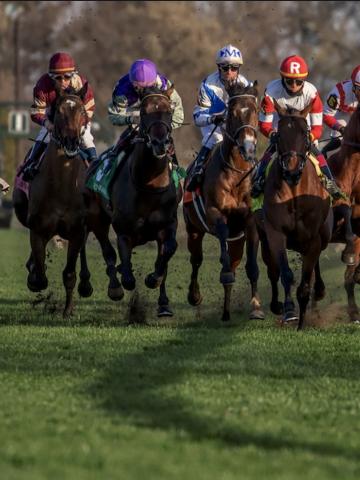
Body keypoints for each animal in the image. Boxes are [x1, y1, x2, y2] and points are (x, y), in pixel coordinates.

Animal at [109, 86, 183, 318]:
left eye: (169, 111)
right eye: (143, 112)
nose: (160, 143)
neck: (149, 187)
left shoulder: (168, 225)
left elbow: (168, 251)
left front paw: (154, 279)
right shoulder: (123, 231)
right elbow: (127, 274)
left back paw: (163, 304)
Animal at [183, 83, 264, 322]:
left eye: (256, 111)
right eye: (233, 113)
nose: (248, 147)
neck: (237, 175)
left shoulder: (249, 220)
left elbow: (252, 267)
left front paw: (256, 307)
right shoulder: (216, 213)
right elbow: (224, 263)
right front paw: (225, 274)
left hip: (236, 238)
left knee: (235, 262)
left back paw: (227, 312)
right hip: (193, 229)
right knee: (196, 260)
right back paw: (195, 296)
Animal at [255, 103, 334, 330]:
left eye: (305, 132)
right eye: (279, 134)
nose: (291, 170)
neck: (294, 191)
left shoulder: (314, 239)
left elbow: (306, 281)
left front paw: (302, 323)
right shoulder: (275, 233)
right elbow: (285, 273)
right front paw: (290, 311)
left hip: (321, 237)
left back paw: (319, 291)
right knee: (272, 270)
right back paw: (276, 305)